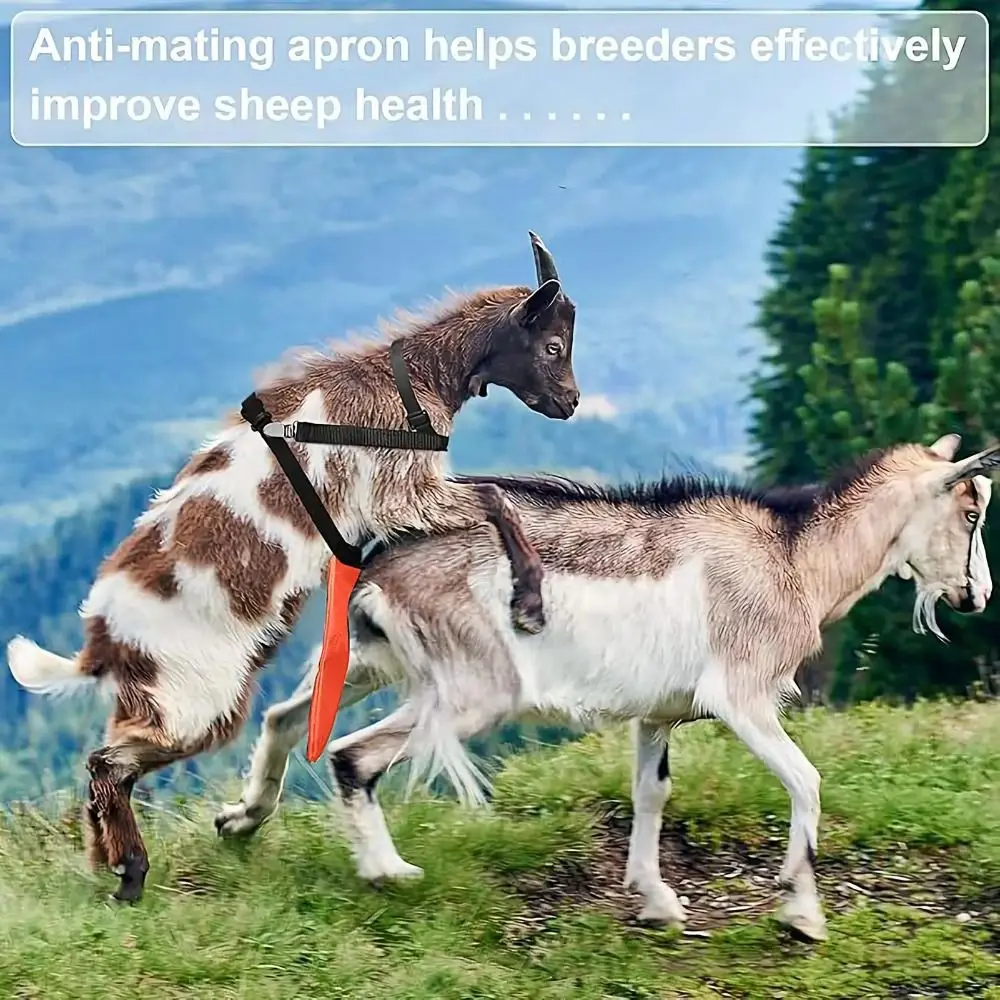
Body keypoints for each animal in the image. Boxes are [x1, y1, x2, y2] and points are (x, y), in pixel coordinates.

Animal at [5, 231, 581, 904]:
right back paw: (132, 872)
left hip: (156, 697)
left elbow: (492, 494)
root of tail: (102, 640)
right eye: (553, 345)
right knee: (109, 762)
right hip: (196, 699)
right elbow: (494, 497)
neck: (413, 381)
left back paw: (116, 859)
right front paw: (529, 598)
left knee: (110, 761)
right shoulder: (403, 494)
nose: (571, 403)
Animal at [217, 434, 996, 943]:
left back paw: (241, 820)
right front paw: (801, 912)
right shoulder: (741, 696)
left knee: (285, 716)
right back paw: (386, 870)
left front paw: (655, 900)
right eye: (971, 512)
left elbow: (652, 793)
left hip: (373, 665)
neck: (794, 557)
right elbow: (805, 780)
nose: (977, 596)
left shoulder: (659, 713)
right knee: (353, 755)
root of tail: (377, 561)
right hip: (472, 692)